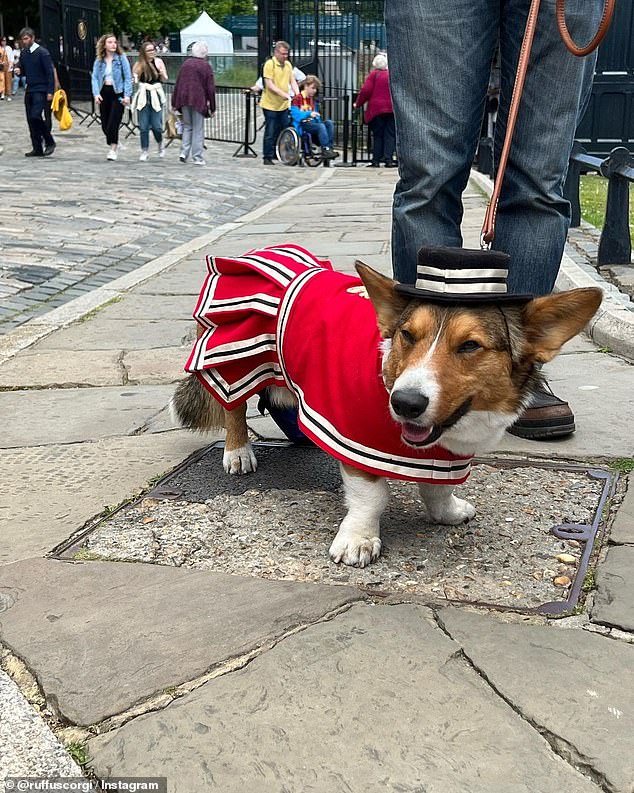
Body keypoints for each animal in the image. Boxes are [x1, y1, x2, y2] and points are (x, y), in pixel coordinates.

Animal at [170, 244, 600, 568]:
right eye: (407, 335)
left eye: (470, 346)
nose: (405, 403)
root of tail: (262, 251)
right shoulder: (355, 439)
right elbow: (370, 497)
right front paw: (358, 541)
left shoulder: (447, 456)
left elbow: (438, 490)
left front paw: (447, 513)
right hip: (236, 358)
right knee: (234, 406)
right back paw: (238, 452)